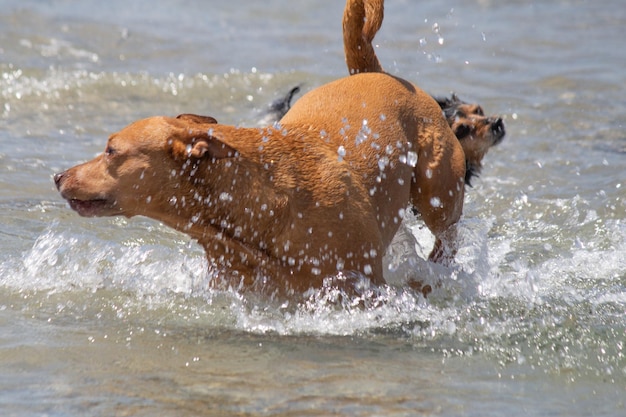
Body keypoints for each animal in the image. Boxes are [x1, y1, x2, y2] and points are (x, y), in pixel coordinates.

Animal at [54, 4, 464, 292]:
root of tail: (375, 73)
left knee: (447, 234)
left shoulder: (363, 285)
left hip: (438, 188)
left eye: (111, 151)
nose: (57, 175)